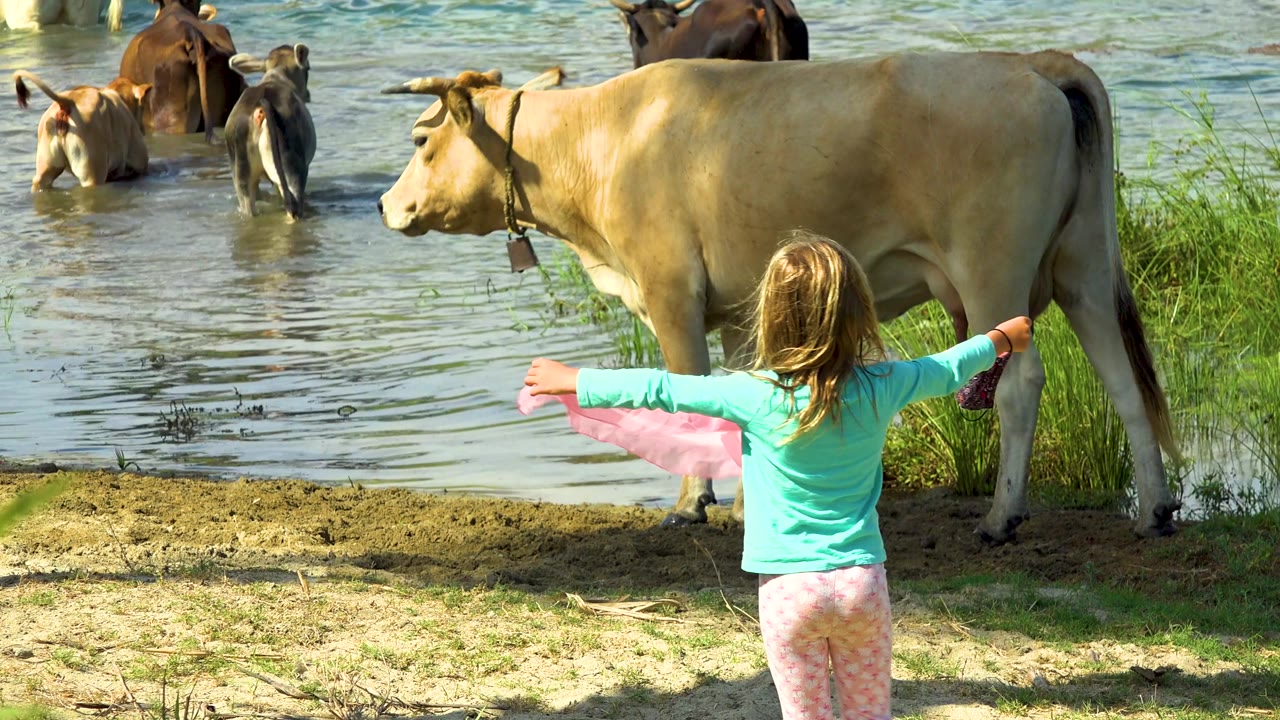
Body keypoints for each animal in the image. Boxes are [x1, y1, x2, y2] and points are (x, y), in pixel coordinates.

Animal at [14, 70, 151, 190]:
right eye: (143, 106)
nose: (144, 130)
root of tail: (67, 103)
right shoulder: (139, 165)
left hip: (45, 171)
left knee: (40, 181)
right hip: (92, 174)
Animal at [224, 44, 315, 221]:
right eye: (308, 68)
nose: (308, 95)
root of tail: (260, 107)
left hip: (241, 176)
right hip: (293, 167)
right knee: (293, 206)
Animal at [376, 52, 1184, 544]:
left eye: (419, 139)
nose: (386, 205)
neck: (601, 140)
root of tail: (1030, 62)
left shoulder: (671, 291)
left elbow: (689, 394)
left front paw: (688, 505)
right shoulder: (736, 308)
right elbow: (737, 397)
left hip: (994, 272)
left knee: (1021, 385)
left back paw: (1001, 516)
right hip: (1083, 266)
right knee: (1123, 381)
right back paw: (1154, 510)